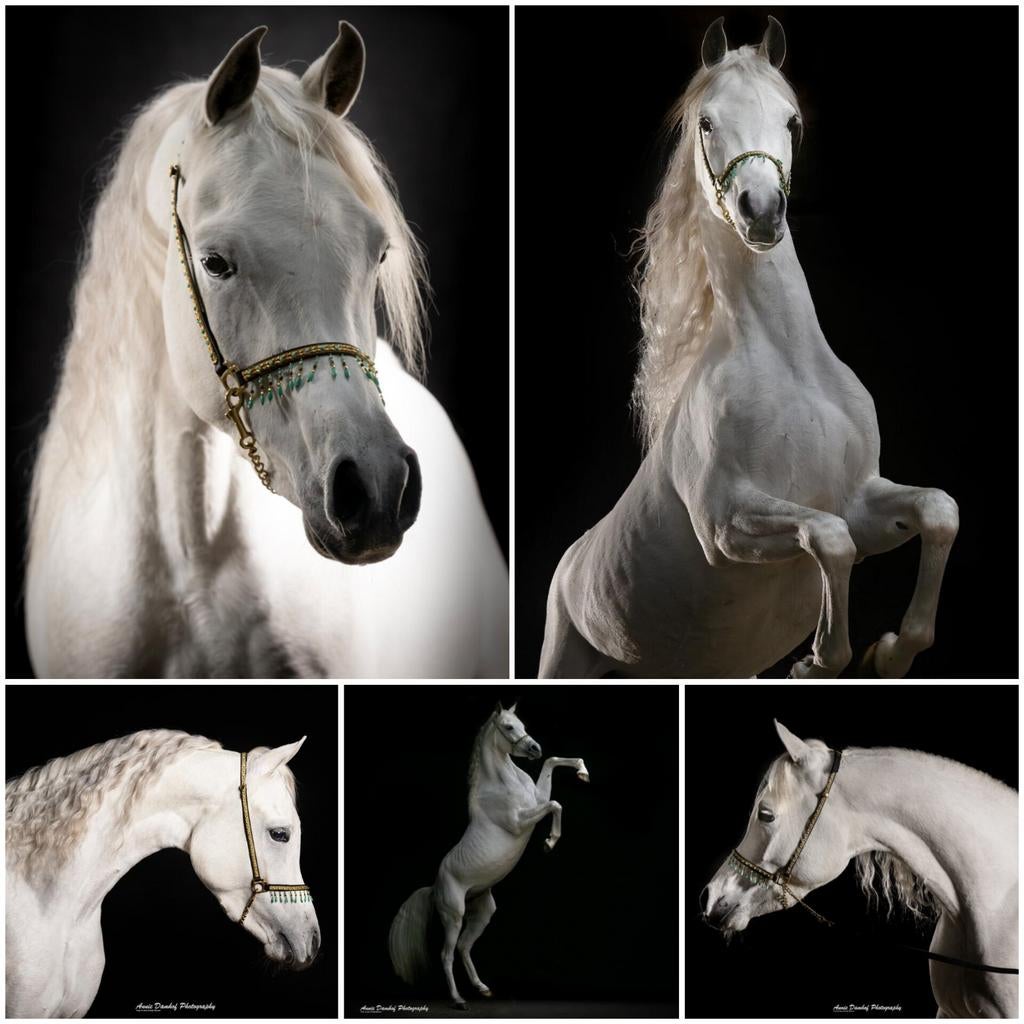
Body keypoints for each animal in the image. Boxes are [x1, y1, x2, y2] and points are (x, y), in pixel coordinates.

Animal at [388, 703, 590, 1008]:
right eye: (508, 727)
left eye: (522, 723)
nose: (534, 748)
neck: (503, 783)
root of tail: (434, 887)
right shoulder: (520, 822)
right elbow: (555, 804)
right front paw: (549, 842)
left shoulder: (537, 799)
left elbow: (552, 764)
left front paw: (582, 772)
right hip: (454, 915)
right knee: (446, 954)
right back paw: (458, 999)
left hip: (482, 912)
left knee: (463, 947)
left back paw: (482, 988)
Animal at [539, 16, 958, 679]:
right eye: (707, 122)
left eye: (792, 121)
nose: (760, 211)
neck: (790, 369)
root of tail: (570, 562)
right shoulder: (727, 524)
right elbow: (829, 538)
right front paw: (820, 660)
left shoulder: (864, 499)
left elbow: (938, 511)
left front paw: (890, 652)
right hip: (563, 659)